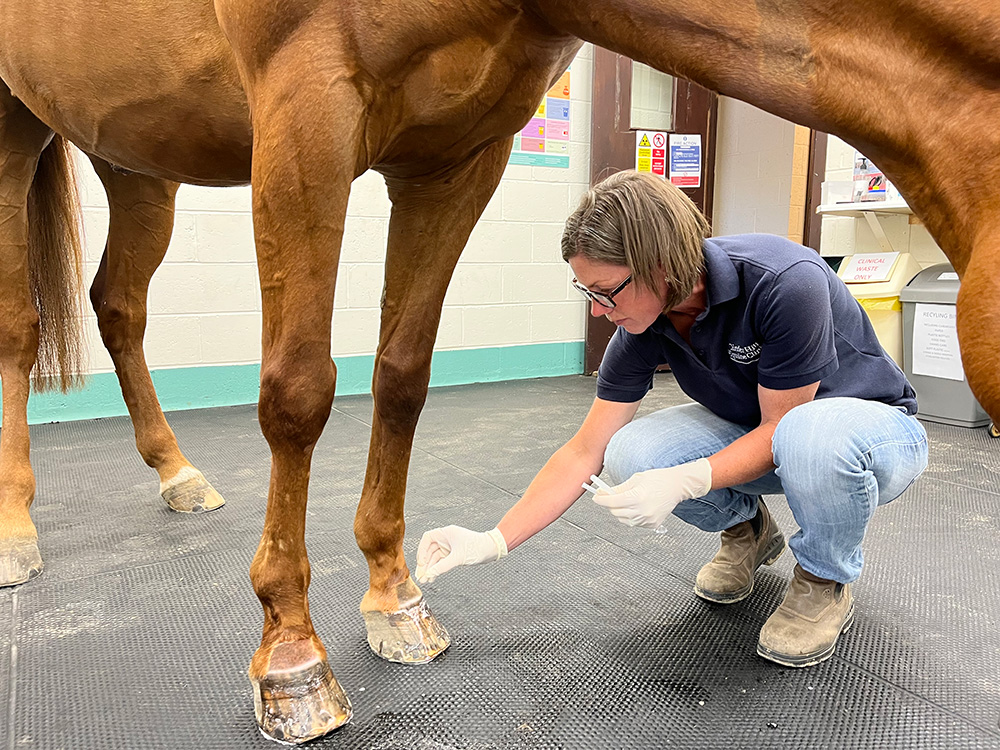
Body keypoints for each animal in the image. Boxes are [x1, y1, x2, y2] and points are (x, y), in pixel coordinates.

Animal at [1, 0, 1000, 744]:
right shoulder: (303, 108)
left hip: (133, 147)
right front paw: (291, 651)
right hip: (17, 127)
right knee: (21, 323)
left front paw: (396, 593)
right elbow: (297, 391)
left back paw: (177, 473)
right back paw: (17, 530)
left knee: (116, 306)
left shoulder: (455, 156)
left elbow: (402, 373)